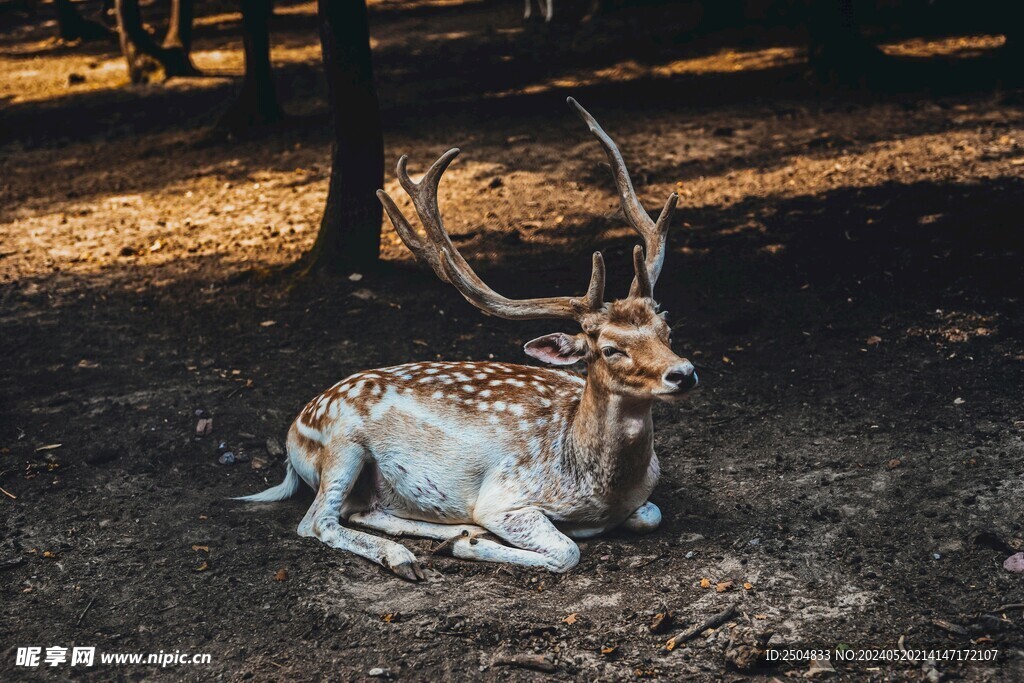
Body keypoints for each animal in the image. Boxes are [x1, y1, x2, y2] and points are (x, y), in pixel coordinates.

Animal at [235, 98, 697, 581]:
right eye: (609, 349)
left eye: (667, 330)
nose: (683, 373)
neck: (599, 490)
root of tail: (294, 431)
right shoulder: (504, 497)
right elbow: (567, 551)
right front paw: (471, 545)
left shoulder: (640, 499)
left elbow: (651, 514)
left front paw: (464, 539)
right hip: (342, 445)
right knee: (317, 520)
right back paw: (413, 554)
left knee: (361, 510)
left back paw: (448, 534)